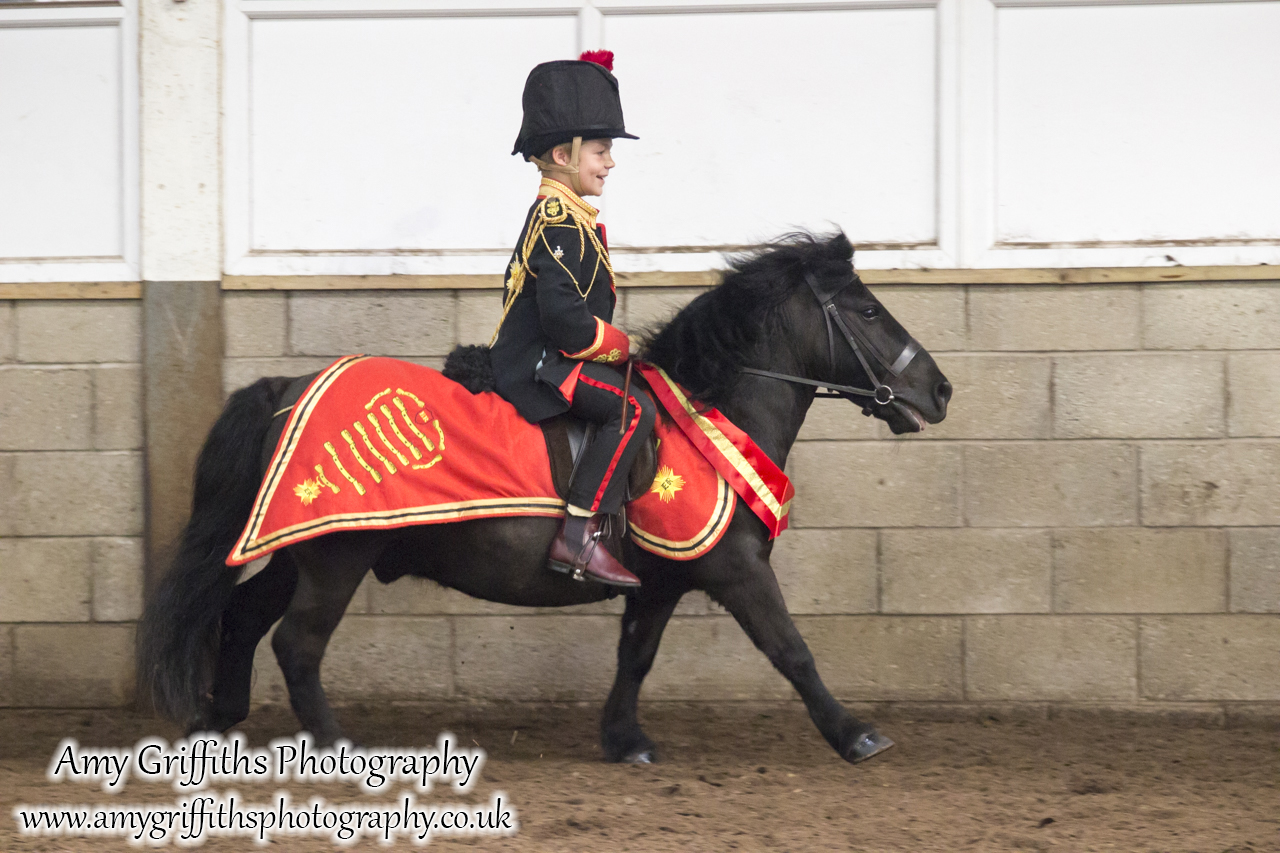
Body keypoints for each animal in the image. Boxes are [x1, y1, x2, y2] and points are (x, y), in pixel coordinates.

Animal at [137, 233, 952, 763]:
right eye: (868, 311)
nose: (939, 390)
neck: (709, 416)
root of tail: (285, 387)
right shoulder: (736, 569)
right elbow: (792, 649)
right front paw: (855, 733)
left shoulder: (662, 581)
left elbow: (636, 654)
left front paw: (624, 739)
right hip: (337, 555)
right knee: (296, 644)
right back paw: (335, 746)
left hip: (302, 545)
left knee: (244, 616)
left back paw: (220, 722)